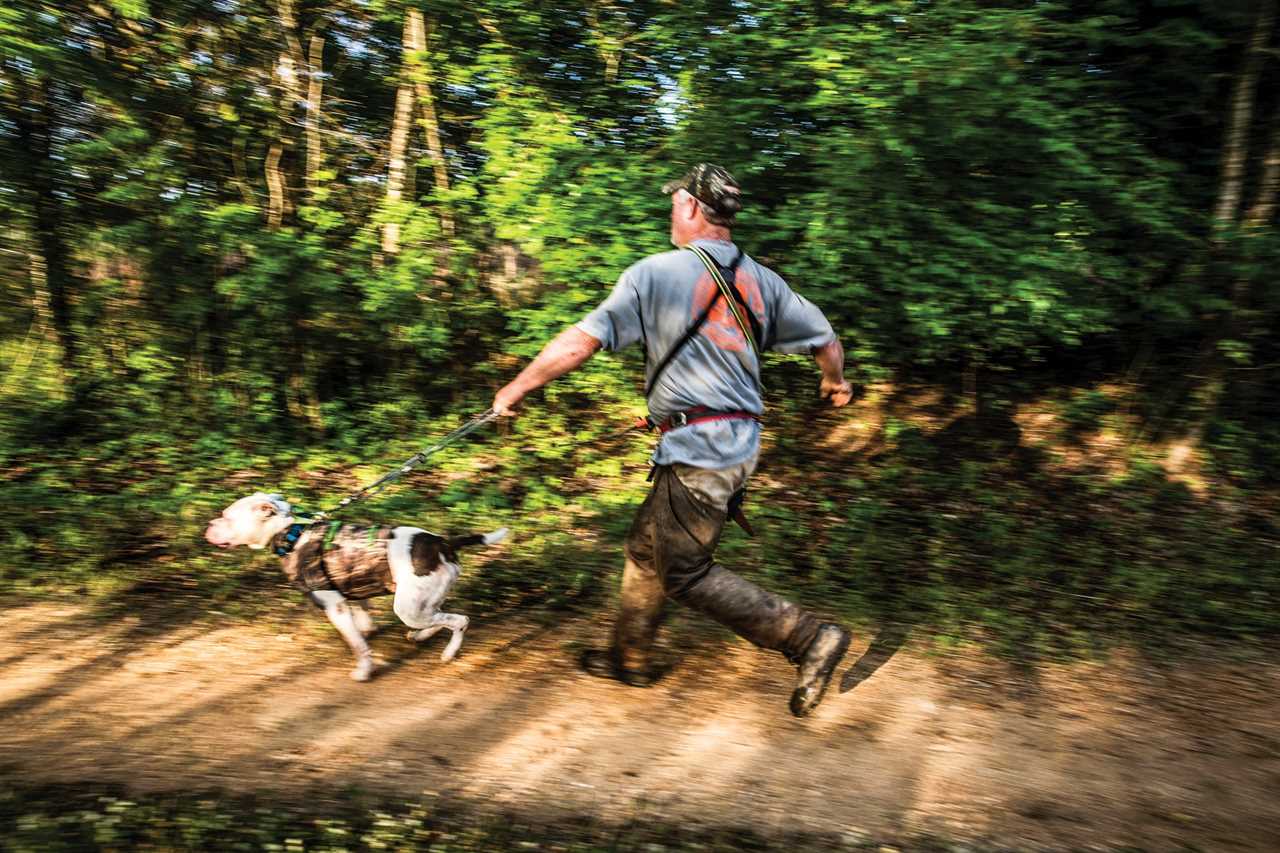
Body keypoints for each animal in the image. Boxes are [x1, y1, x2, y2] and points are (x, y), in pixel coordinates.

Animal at [204, 491, 504, 676]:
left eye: (228, 517)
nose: (209, 524)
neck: (292, 532)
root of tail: (442, 542)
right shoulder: (357, 594)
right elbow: (364, 625)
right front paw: (369, 635)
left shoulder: (335, 607)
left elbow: (356, 643)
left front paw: (364, 670)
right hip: (421, 602)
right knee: (439, 615)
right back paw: (420, 636)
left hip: (408, 608)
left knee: (459, 620)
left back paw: (449, 652)